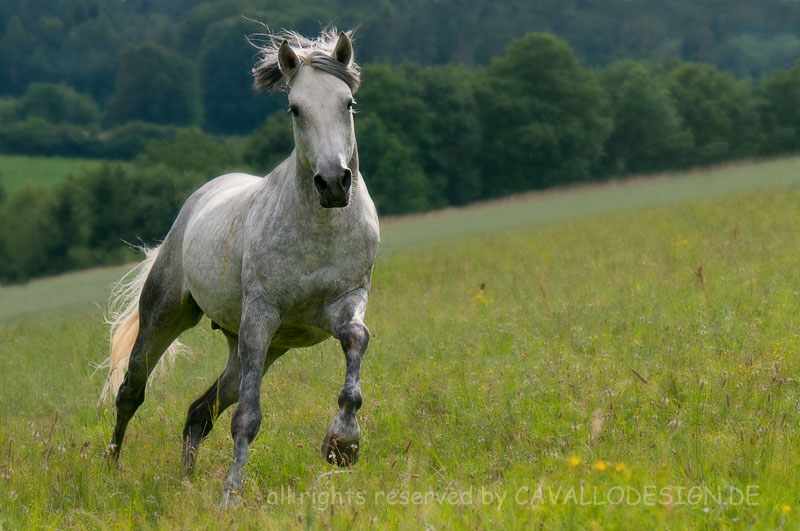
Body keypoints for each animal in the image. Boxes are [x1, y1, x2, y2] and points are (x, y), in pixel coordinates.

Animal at [98, 30, 380, 508]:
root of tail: (198, 199)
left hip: (258, 349)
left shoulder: (340, 304)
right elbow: (248, 418)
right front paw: (231, 495)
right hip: (173, 318)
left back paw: (185, 481)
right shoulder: (262, 316)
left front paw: (343, 444)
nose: (333, 183)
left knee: (199, 411)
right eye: (295, 108)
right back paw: (110, 471)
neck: (319, 229)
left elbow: (356, 340)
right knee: (131, 391)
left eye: (348, 103)